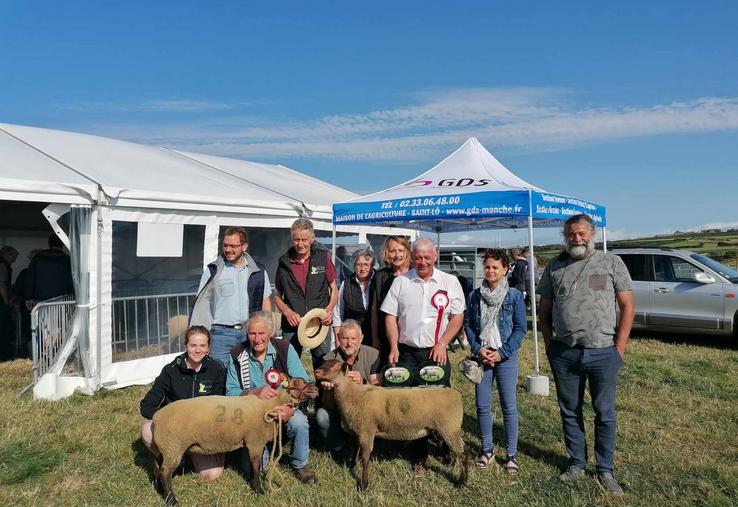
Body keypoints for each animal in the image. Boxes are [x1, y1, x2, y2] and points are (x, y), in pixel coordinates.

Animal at [151, 380, 318, 506]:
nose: (316, 388)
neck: (270, 405)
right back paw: (171, 500)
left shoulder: (252, 441)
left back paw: (160, 489)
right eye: (299, 382)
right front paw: (258, 489)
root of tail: (156, 419)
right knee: (165, 473)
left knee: (158, 468)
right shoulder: (255, 441)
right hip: (173, 447)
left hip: (165, 449)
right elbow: (256, 466)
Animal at [312, 358, 466, 492]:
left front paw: (363, 484)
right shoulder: (357, 431)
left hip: (449, 427)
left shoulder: (367, 431)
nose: (316, 372)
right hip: (444, 428)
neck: (352, 394)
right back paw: (450, 463)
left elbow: (365, 458)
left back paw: (461, 482)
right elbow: (355, 451)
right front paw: (351, 466)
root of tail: (456, 394)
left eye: (335, 365)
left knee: (463, 454)